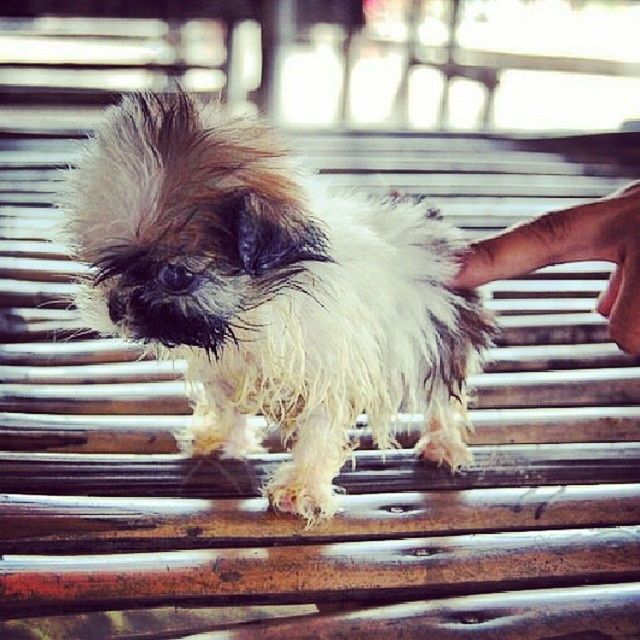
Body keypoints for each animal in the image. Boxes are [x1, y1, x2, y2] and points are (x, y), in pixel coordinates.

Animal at [63, 92, 496, 524]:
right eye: (105, 266)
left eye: (175, 275)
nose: (114, 307)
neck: (254, 313)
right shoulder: (228, 369)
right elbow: (226, 403)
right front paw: (219, 436)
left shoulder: (330, 372)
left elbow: (320, 432)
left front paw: (300, 487)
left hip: (441, 336)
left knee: (443, 399)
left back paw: (443, 443)